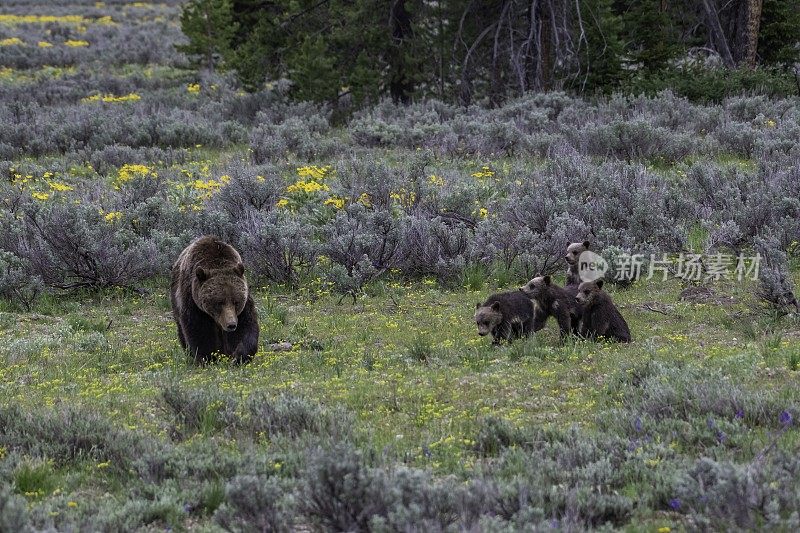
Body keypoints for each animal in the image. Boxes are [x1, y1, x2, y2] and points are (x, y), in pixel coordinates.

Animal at [171, 235, 260, 364]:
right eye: (219, 302)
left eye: (236, 302)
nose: (231, 324)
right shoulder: (193, 302)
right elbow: (199, 330)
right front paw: (208, 357)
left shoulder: (244, 304)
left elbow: (245, 327)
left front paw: (239, 356)